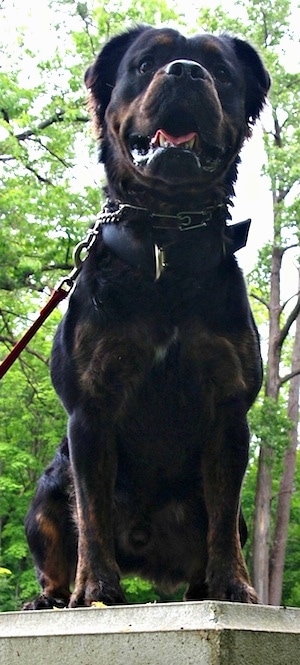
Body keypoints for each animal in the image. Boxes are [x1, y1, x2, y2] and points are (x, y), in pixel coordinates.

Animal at [24, 26, 270, 608]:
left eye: (221, 71)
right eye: (144, 64)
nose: (185, 70)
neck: (165, 243)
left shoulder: (229, 411)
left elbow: (222, 516)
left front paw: (234, 584)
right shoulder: (90, 409)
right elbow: (90, 512)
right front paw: (96, 589)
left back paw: (203, 584)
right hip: (45, 495)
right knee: (55, 544)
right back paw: (51, 596)